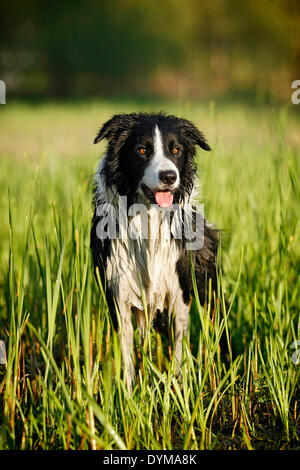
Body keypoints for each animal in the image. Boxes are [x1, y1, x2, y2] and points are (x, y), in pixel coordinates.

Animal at [90, 113, 221, 390]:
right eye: (142, 150)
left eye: (176, 150)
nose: (169, 176)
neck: (148, 217)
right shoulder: (117, 290)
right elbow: (126, 351)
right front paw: (128, 393)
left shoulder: (180, 288)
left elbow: (180, 341)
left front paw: (179, 384)